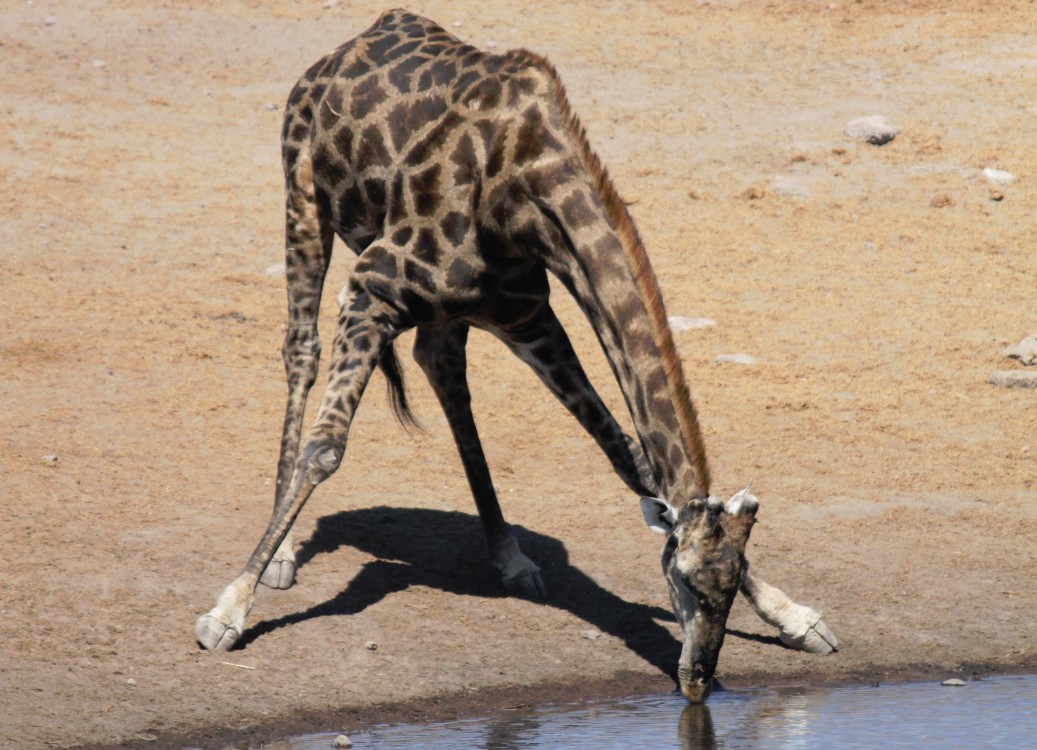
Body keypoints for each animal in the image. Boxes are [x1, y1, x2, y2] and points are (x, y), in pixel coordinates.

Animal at [195, 10, 833, 705]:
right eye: (687, 582)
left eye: (730, 584)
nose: (696, 683)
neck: (521, 192)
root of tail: (348, 44)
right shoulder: (374, 287)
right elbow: (326, 449)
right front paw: (227, 612)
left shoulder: (528, 316)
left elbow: (630, 458)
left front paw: (795, 616)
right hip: (303, 194)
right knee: (302, 351)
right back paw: (282, 554)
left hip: (450, 309)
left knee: (441, 368)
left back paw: (510, 555)